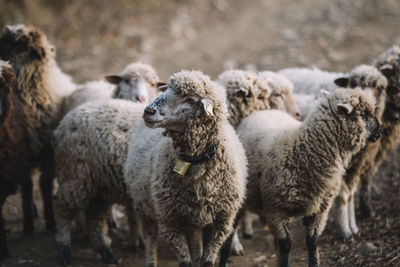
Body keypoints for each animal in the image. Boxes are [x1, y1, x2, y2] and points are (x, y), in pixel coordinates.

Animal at [0, 24, 76, 231]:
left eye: (25, 48)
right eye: (7, 45)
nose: (13, 69)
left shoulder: (47, 149)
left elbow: (45, 184)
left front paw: (50, 220)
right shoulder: (20, 152)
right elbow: (27, 185)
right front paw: (28, 224)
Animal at [53, 99, 147, 266]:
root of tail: (62, 125)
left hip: (99, 188)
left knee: (94, 219)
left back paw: (106, 252)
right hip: (76, 177)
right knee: (61, 208)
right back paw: (64, 249)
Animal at [123, 70, 247, 266]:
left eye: (190, 100)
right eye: (167, 90)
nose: (148, 111)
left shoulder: (221, 223)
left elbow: (207, 261)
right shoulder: (170, 222)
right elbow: (185, 262)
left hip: (194, 220)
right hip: (146, 208)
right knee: (150, 239)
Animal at [228, 89, 382, 267]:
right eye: (364, 114)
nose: (380, 131)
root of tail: (263, 111)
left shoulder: (320, 208)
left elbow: (312, 242)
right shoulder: (275, 209)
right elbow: (286, 245)